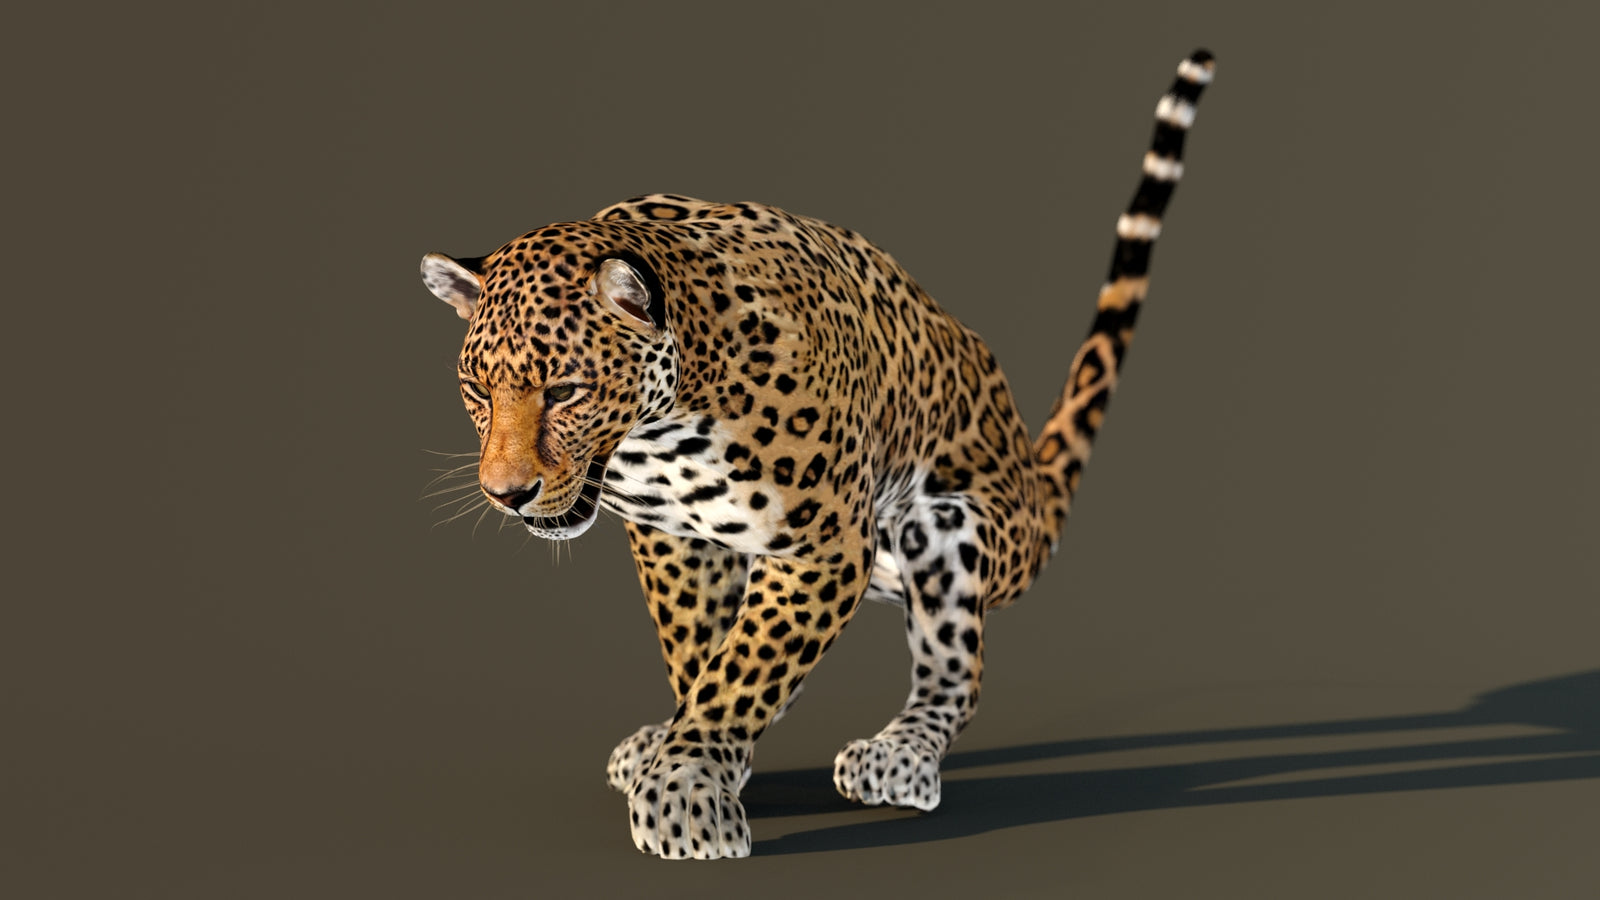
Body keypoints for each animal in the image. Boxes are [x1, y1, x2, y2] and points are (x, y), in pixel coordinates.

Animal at [419, 50, 1215, 859]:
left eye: (566, 391)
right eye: (475, 391)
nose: (505, 493)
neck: (662, 427)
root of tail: (1026, 470)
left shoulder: (825, 543)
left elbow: (745, 665)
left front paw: (686, 788)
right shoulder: (676, 538)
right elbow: (700, 652)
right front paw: (692, 752)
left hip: (947, 527)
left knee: (957, 669)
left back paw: (899, 756)